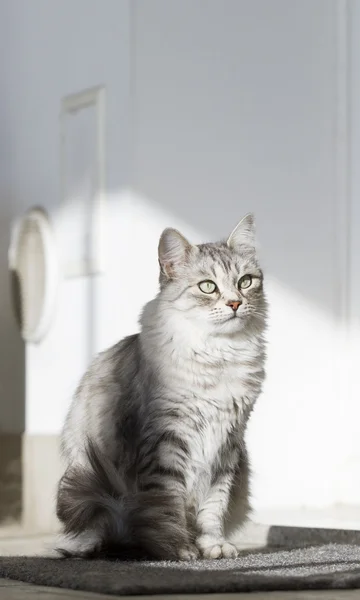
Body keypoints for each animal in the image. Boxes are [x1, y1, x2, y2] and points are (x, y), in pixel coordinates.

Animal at [55, 213, 268, 560]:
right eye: (207, 286)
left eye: (245, 282)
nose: (235, 303)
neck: (218, 356)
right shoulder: (167, 439)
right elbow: (169, 504)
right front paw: (177, 548)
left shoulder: (228, 442)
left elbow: (214, 505)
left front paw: (212, 545)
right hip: (85, 481)